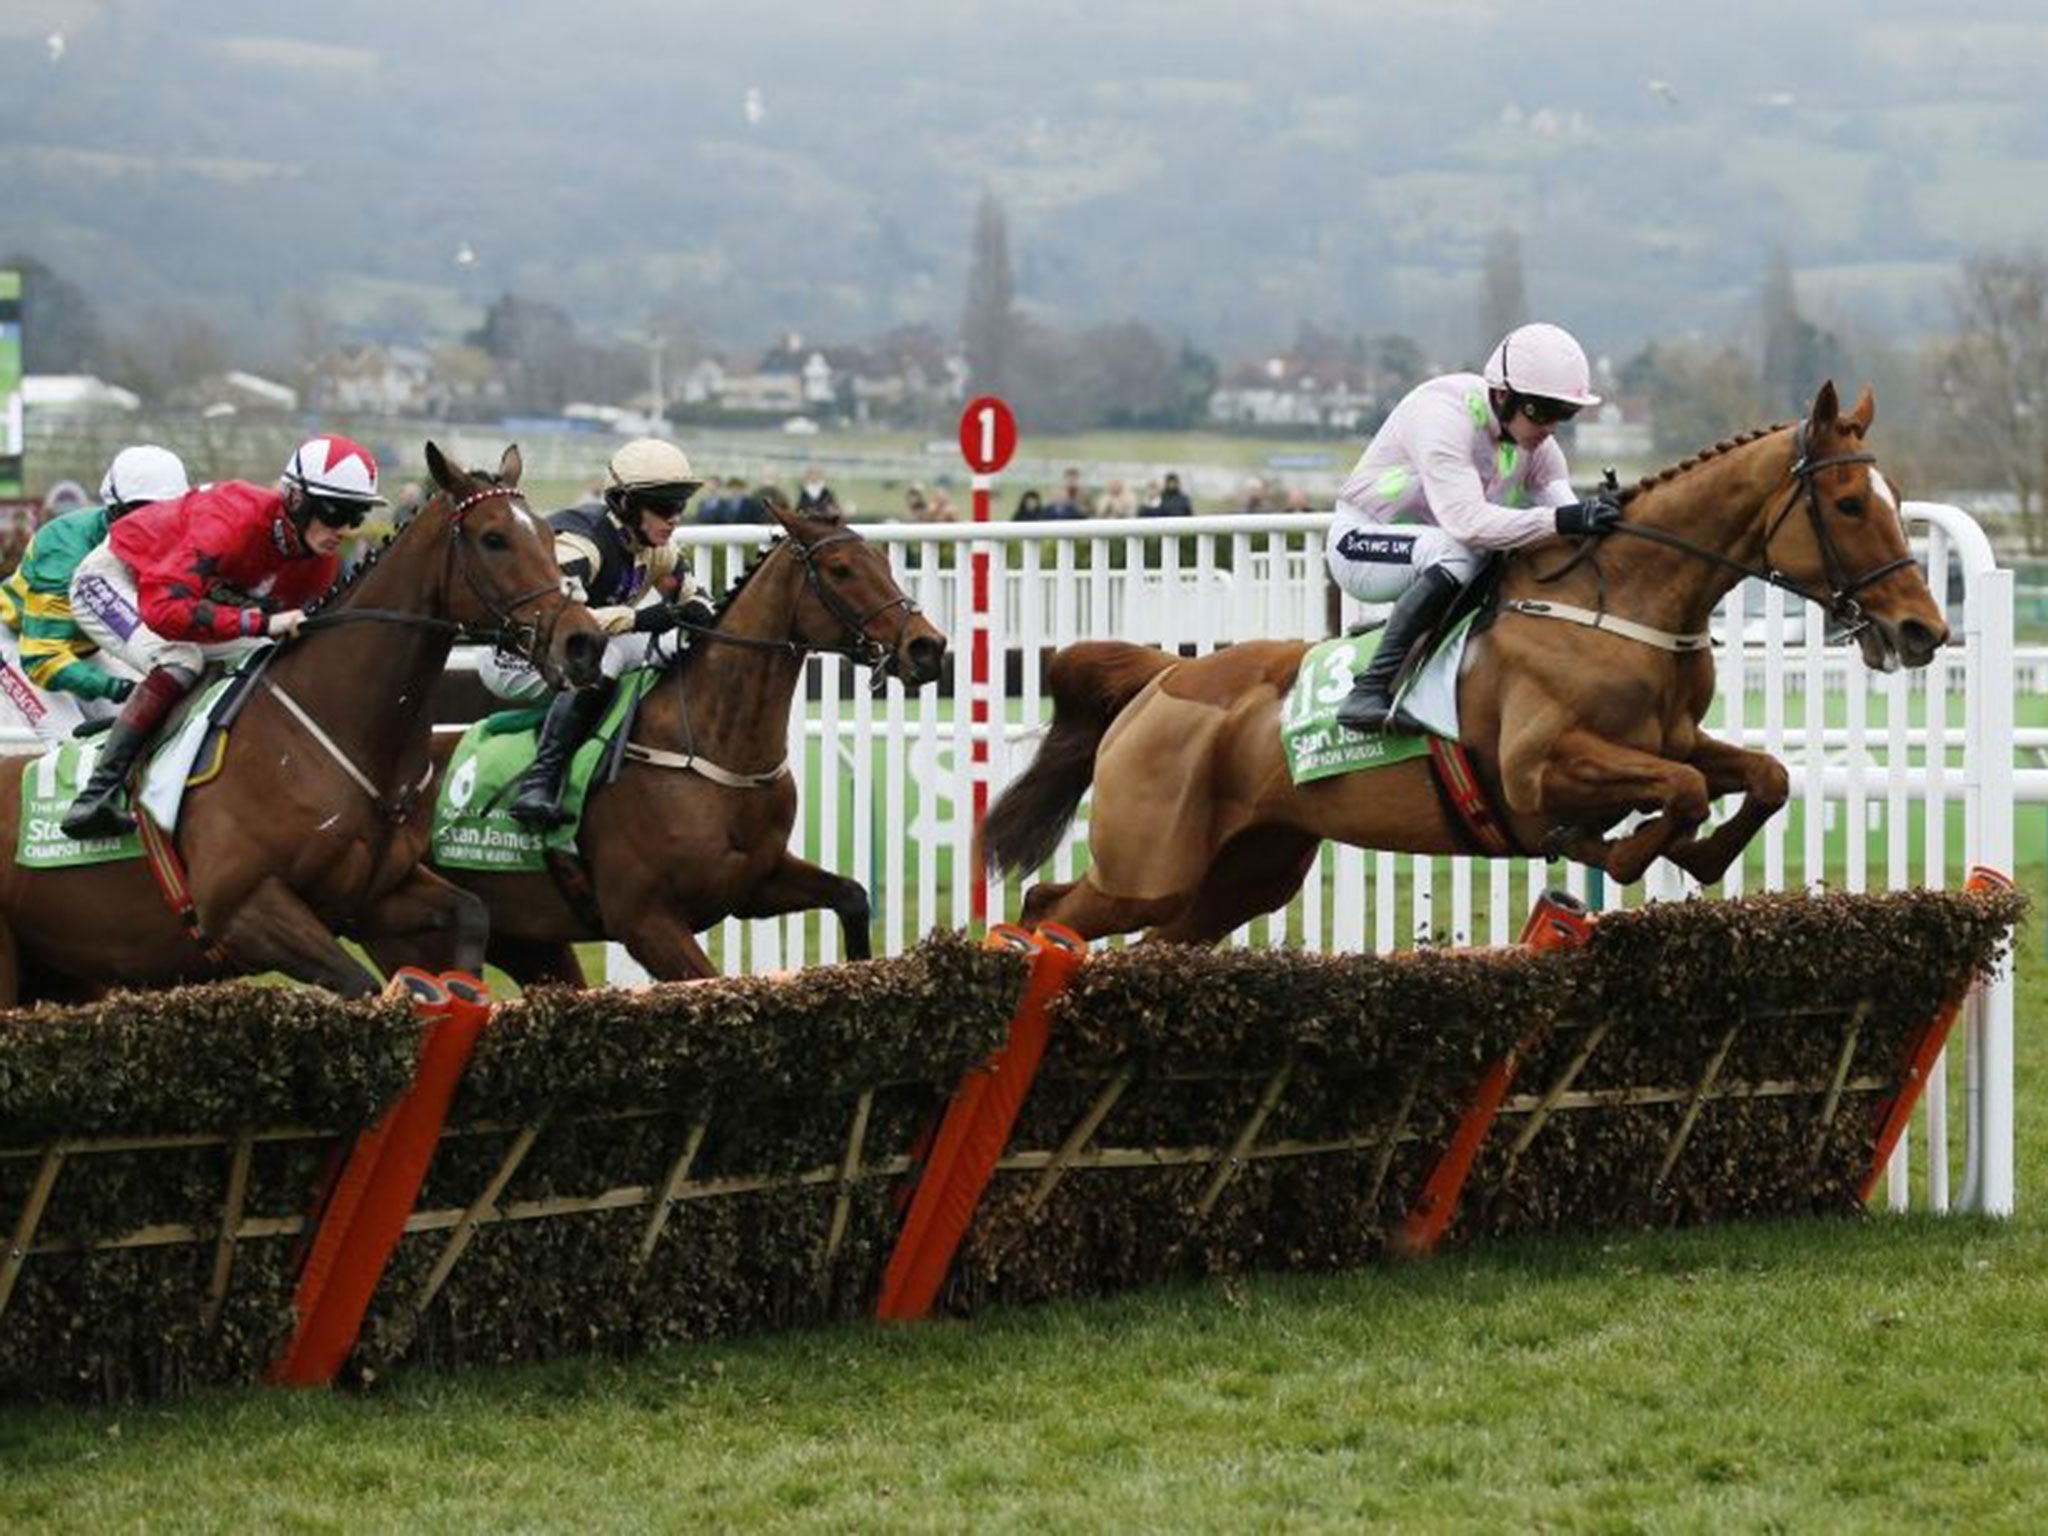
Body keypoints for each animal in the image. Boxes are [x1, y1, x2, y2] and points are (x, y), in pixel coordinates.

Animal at [0, 442, 602, 1011]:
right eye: (494, 538)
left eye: (547, 533)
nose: (583, 642)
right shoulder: (243, 908)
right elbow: (362, 987)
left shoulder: (375, 896)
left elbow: (472, 915)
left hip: (63, 973)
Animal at [403, 499, 954, 991]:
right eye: (841, 570)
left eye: (885, 563)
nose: (927, 646)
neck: (716, 747)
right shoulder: (645, 922)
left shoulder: (756, 883)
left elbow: (852, 896)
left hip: (528, 943)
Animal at [987, 378, 1949, 946]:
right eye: (1851, 503)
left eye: (1897, 496)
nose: (1922, 631)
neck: (1619, 603)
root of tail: (1161, 678)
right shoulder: (1536, 768)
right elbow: (1669, 795)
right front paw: (1617, 852)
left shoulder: (1672, 739)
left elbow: (1762, 776)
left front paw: (1701, 858)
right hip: (1150, 867)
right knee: (1046, 909)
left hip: (1242, 873)